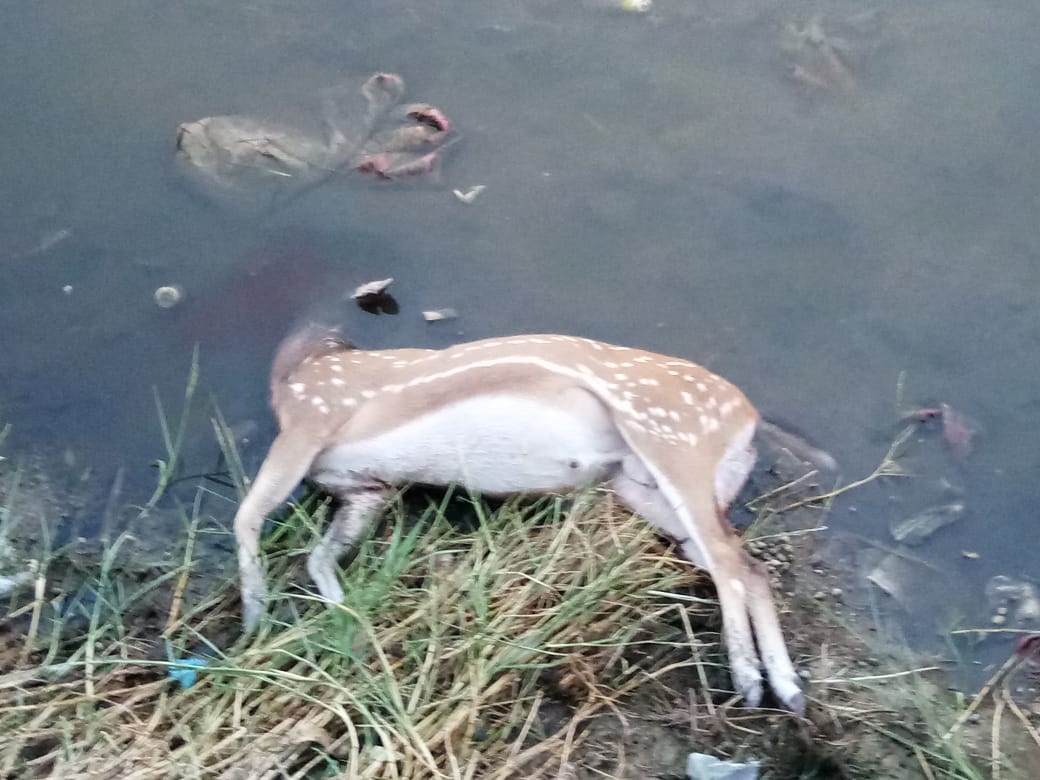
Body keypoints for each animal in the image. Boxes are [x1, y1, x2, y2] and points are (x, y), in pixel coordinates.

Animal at [232, 327, 806, 715]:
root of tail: (747, 421)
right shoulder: (367, 488)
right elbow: (319, 556)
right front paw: (344, 623)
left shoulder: (314, 418)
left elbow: (247, 516)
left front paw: (254, 618)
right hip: (639, 486)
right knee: (747, 564)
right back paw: (787, 688)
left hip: (673, 440)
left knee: (730, 563)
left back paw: (748, 680)